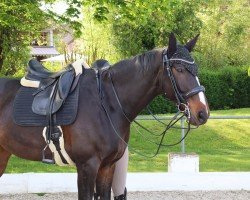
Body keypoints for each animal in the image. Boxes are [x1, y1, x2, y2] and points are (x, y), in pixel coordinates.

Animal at [0, 33, 209, 199]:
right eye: (179, 69)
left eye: (196, 69)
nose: (202, 112)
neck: (107, 103)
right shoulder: (87, 166)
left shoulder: (107, 167)